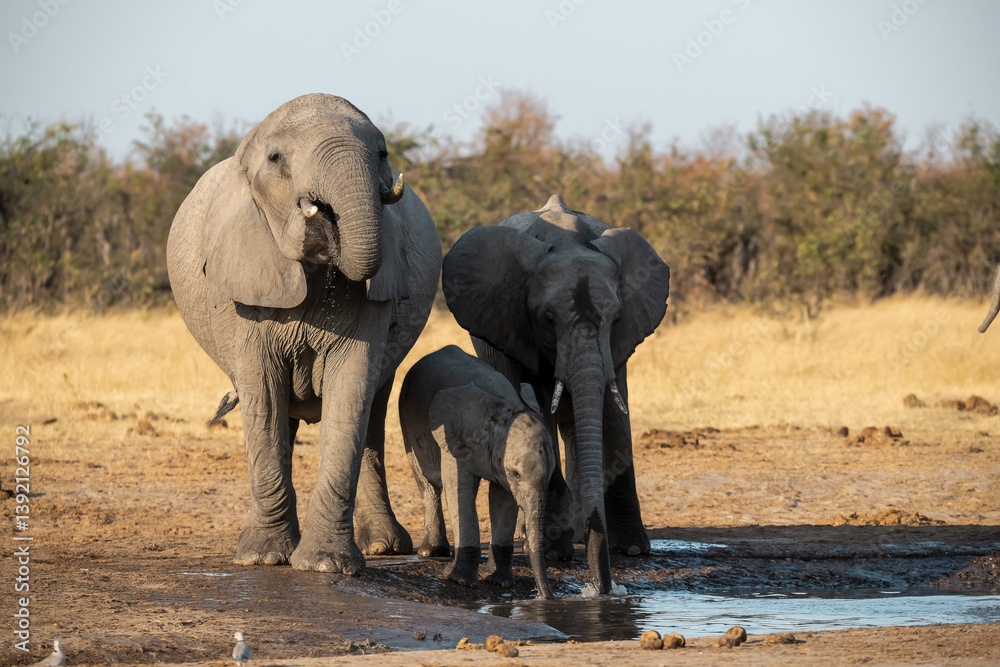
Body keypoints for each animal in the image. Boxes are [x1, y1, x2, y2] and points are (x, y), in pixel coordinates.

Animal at [166, 94, 441, 573]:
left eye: (382, 154)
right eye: (277, 160)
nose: (325, 219)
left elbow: (349, 394)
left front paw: (325, 565)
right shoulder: (245, 281)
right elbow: (262, 396)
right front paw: (261, 558)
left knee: (371, 414)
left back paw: (383, 547)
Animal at [399, 345, 556, 599]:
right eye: (516, 473)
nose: (544, 597)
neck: (505, 408)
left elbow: (503, 501)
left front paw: (497, 582)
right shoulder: (456, 436)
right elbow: (458, 489)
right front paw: (459, 581)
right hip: (408, 420)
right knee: (428, 483)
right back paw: (431, 553)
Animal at [442, 194, 670, 595]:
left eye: (616, 317)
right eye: (548, 318)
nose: (600, 588)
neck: (566, 241)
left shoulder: (621, 337)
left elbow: (612, 410)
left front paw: (630, 550)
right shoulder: (506, 322)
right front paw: (553, 551)